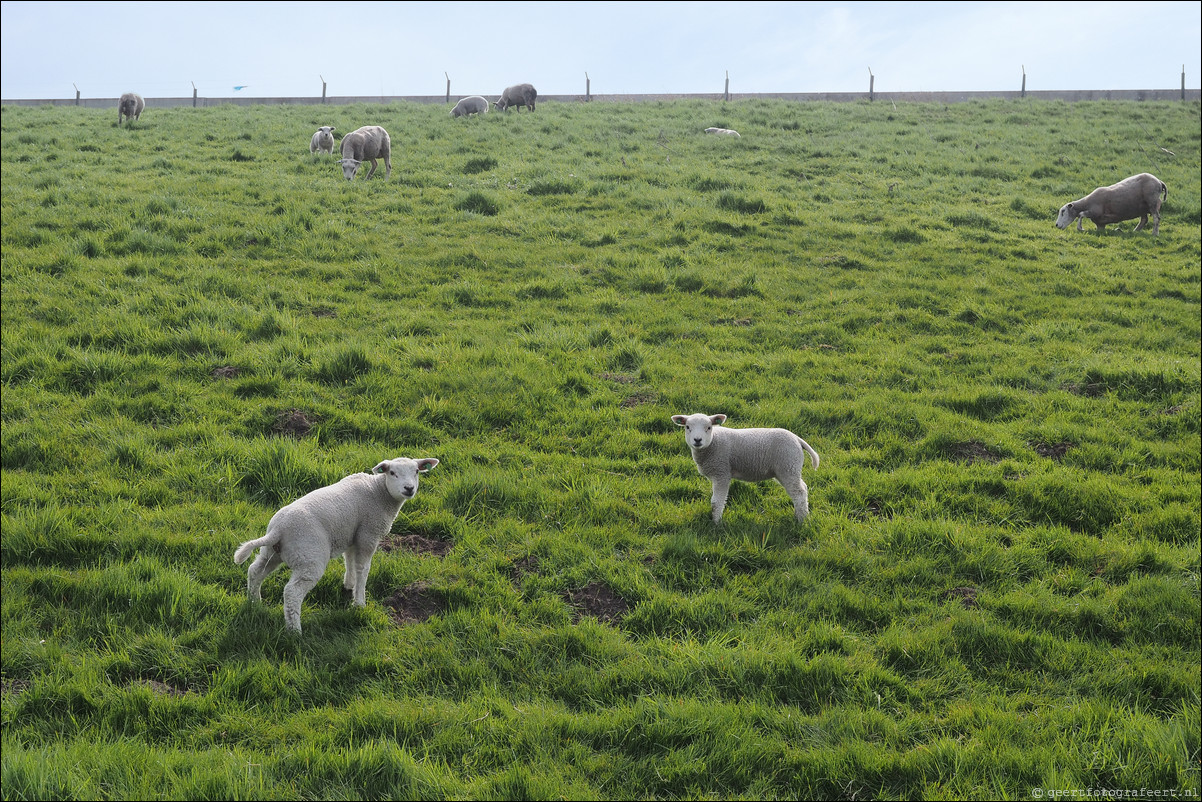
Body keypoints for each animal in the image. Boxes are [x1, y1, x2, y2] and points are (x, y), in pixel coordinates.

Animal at [231, 456, 439, 634]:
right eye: (392, 473)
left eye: (416, 472)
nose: (409, 488)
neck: (378, 492)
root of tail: (278, 530)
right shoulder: (368, 534)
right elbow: (363, 568)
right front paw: (359, 602)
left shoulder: (351, 534)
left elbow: (350, 561)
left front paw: (349, 585)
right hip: (309, 557)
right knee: (292, 592)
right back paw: (295, 631)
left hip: (273, 552)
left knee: (255, 571)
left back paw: (254, 603)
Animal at [673, 413, 822, 526]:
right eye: (687, 427)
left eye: (709, 427)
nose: (697, 440)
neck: (713, 443)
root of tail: (797, 439)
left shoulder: (722, 473)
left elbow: (716, 502)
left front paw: (716, 523)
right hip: (788, 469)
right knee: (802, 488)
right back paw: (799, 514)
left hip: (788, 466)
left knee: (799, 493)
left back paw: (802, 520)